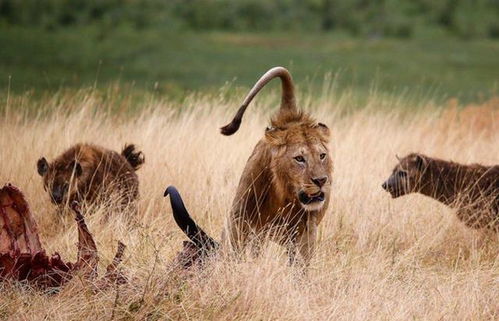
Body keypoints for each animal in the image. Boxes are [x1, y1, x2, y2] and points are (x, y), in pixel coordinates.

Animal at [166, 65, 334, 264]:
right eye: (299, 158)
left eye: (322, 156)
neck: (284, 196)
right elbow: (238, 251)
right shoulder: (243, 222)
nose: (321, 180)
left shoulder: (306, 230)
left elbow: (300, 263)